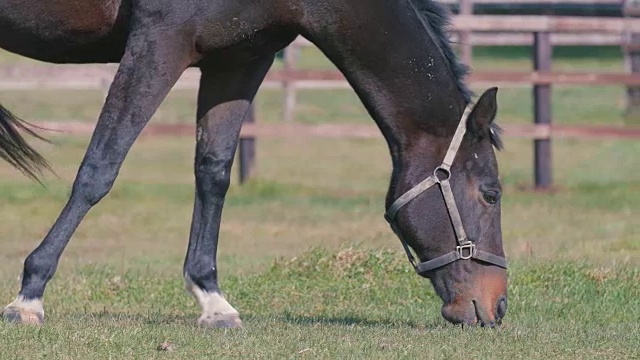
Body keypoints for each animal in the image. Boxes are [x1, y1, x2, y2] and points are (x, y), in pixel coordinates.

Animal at [1, 0, 510, 328]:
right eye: (491, 194)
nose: (498, 306)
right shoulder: (159, 45)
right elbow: (100, 167)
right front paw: (29, 296)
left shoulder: (239, 58)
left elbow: (213, 172)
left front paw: (212, 300)